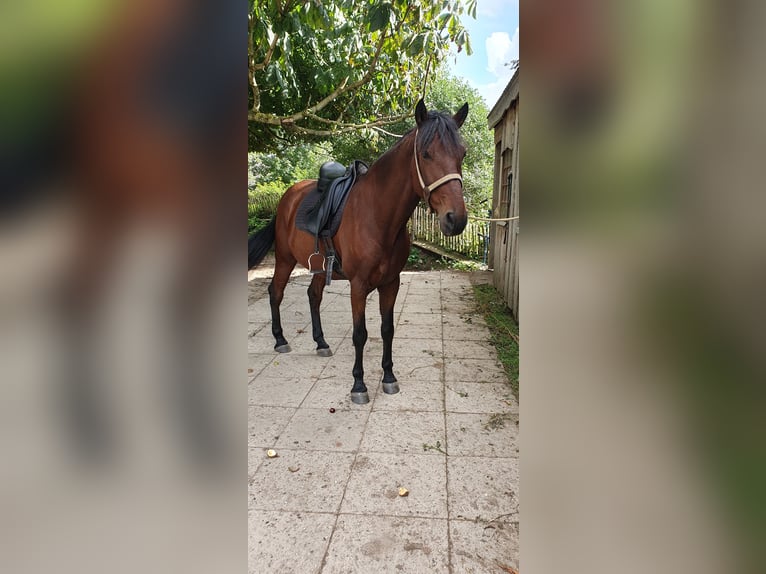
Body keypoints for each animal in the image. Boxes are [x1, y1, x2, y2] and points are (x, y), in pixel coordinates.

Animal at [249, 100, 472, 404]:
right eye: (426, 154)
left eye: (462, 153)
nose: (456, 219)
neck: (377, 215)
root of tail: (288, 197)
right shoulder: (358, 285)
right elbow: (360, 334)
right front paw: (358, 385)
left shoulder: (391, 283)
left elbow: (387, 330)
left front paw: (388, 377)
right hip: (284, 259)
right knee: (276, 292)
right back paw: (281, 340)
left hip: (319, 266)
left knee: (313, 296)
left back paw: (321, 342)